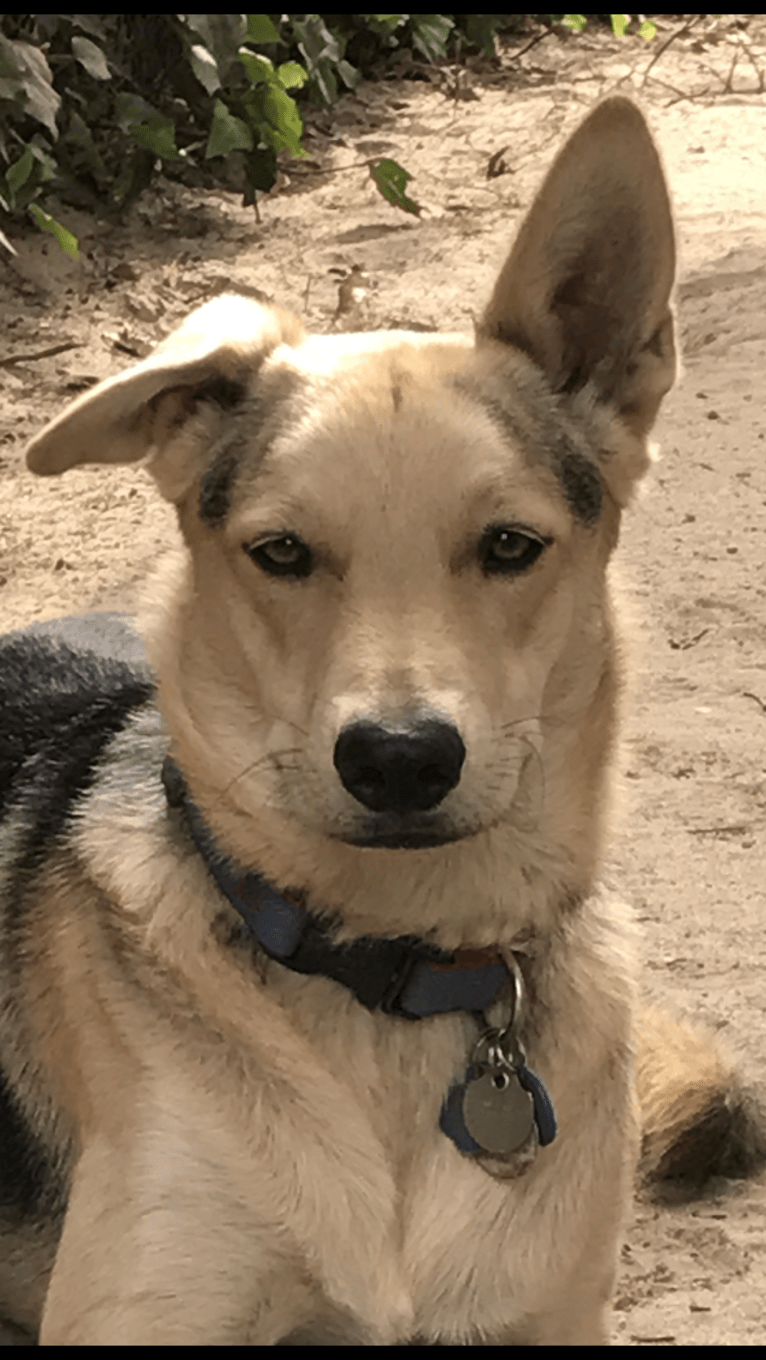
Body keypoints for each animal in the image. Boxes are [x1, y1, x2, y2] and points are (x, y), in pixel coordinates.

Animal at [0, 100, 761, 1343]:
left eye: (509, 546)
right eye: (280, 553)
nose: (399, 762)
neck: (395, 971)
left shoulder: (552, 1315)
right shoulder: (145, 1307)